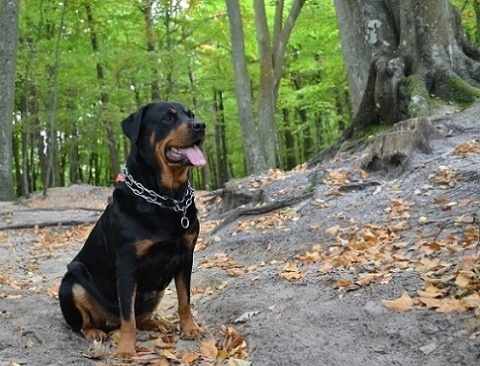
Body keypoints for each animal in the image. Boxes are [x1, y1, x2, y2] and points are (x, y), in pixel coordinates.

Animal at [58, 101, 206, 358]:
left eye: (191, 115)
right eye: (168, 118)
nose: (200, 125)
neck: (168, 198)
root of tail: (109, 322)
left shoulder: (186, 256)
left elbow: (184, 299)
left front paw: (190, 328)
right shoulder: (127, 263)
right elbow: (128, 316)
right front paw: (127, 349)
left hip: (155, 291)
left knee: (141, 316)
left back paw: (157, 323)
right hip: (71, 283)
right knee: (85, 322)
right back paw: (95, 332)